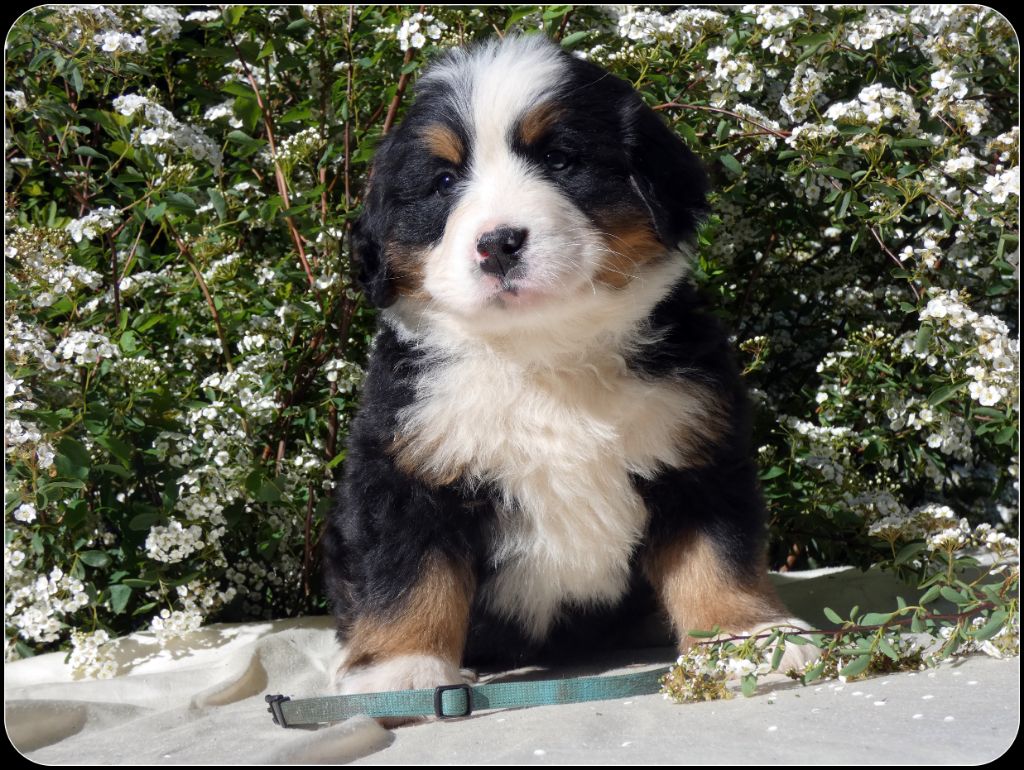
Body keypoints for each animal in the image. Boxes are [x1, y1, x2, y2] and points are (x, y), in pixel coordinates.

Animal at [323, 34, 815, 697]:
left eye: (560, 160)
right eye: (444, 180)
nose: (498, 242)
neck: (545, 354)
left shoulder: (697, 452)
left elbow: (718, 556)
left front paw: (750, 638)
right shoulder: (408, 467)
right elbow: (407, 574)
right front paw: (403, 668)